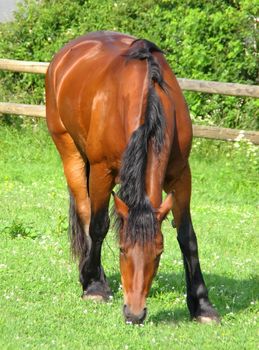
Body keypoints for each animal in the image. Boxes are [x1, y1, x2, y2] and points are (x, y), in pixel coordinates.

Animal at [45, 31, 220, 324]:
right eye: (123, 250)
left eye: (159, 252)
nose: (135, 314)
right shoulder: (102, 171)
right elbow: (98, 225)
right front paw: (95, 287)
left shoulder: (182, 176)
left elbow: (187, 237)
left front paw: (202, 306)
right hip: (70, 152)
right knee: (84, 211)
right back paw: (92, 277)